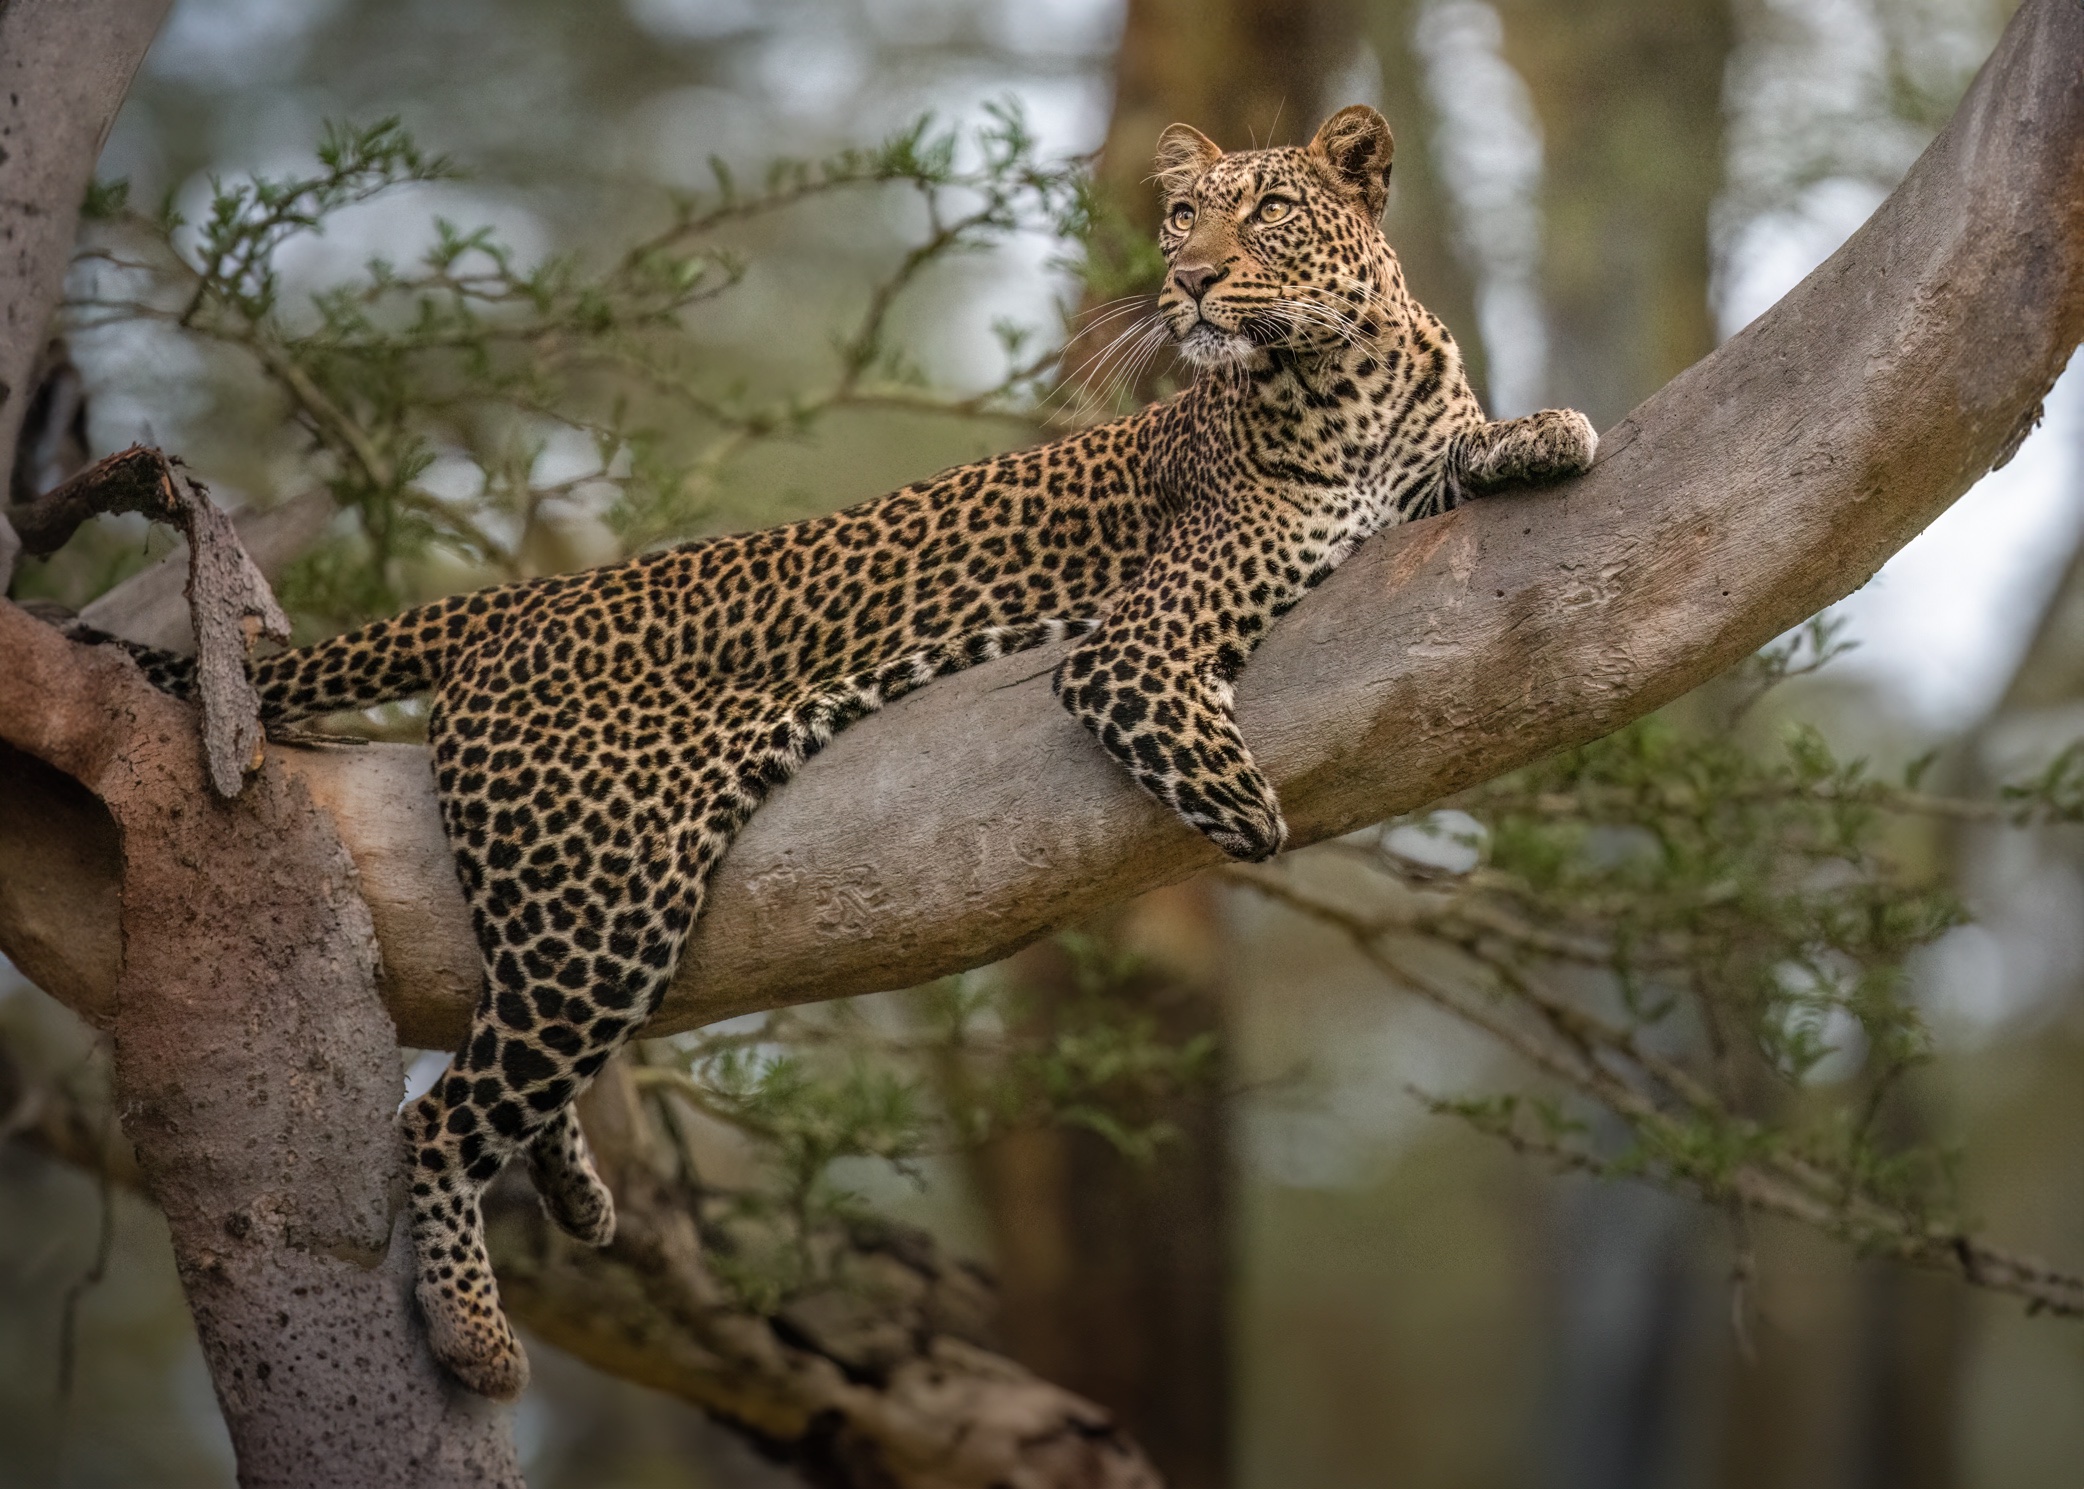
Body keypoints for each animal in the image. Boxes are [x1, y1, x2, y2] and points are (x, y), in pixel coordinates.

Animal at [92, 105, 1596, 1399]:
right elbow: (1209, 760)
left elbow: (1465, 455)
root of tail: (527, 599)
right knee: (440, 1117)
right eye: (1181, 217)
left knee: (494, 1035)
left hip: (577, 907)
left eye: (1270, 211)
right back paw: (471, 1332)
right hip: (604, 901)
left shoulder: (1404, 471)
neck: (1351, 376)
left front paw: (1545, 429)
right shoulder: (1134, 644)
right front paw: (1252, 818)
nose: (1191, 283)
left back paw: (573, 1184)